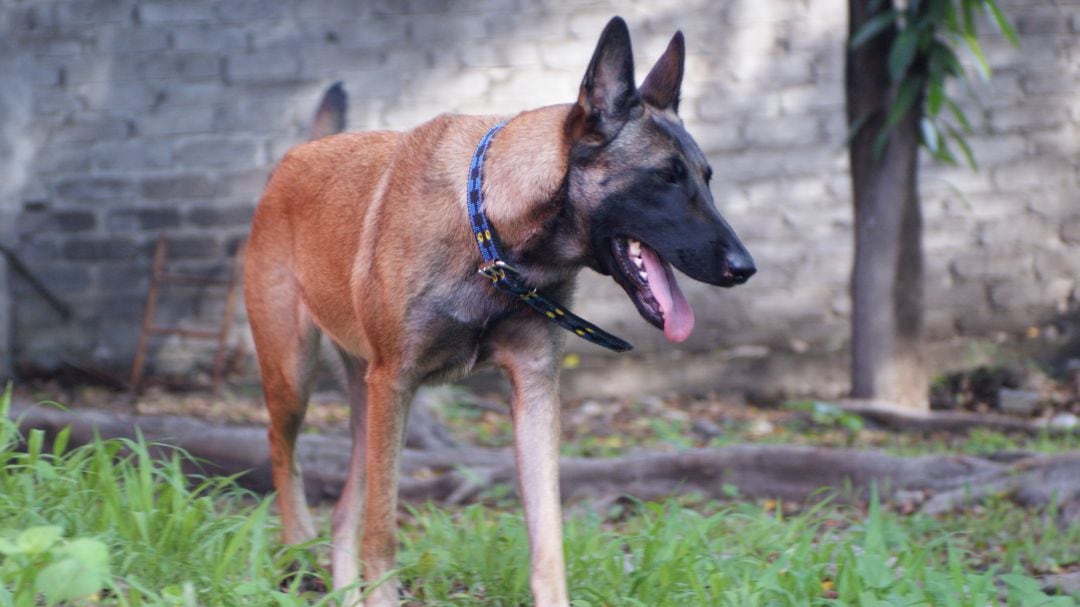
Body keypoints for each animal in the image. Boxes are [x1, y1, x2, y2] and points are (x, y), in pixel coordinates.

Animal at [245, 16, 751, 600]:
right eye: (665, 177)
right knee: (283, 451)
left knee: (345, 510)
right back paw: (296, 552)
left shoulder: (532, 390)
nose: (745, 267)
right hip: (297, 376)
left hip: (365, 403)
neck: (492, 236)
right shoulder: (395, 384)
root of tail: (298, 154)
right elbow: (383, 534)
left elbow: (548, 542)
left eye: (706, 178)